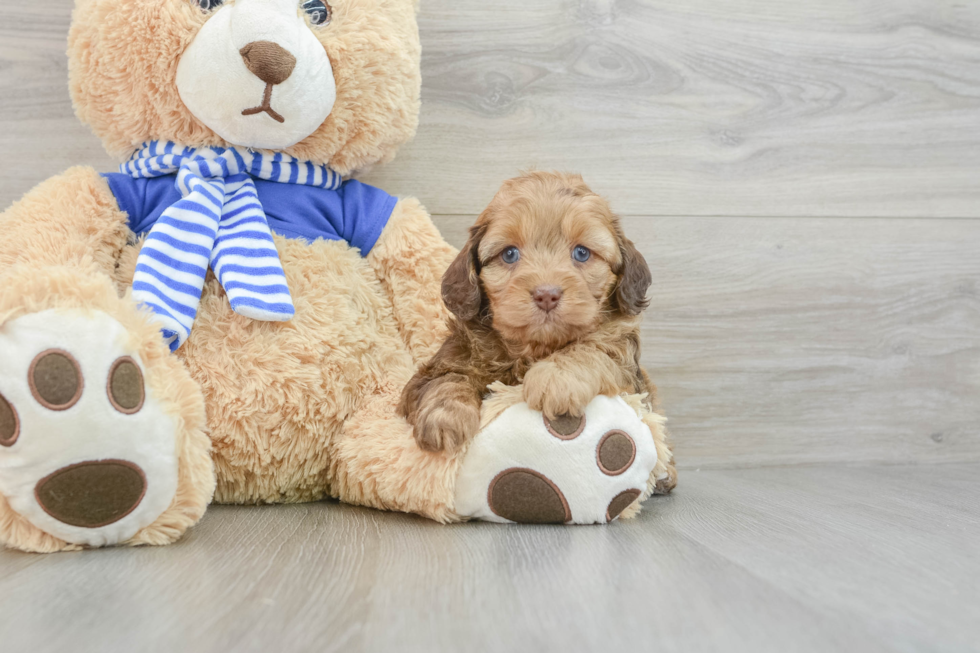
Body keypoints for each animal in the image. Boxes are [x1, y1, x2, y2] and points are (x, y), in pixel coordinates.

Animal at [398, 171, 668, 474]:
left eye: (582, 253)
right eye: (509, 254)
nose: (546, 294)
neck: (534, 348)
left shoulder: (628, 371)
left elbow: (596, 350)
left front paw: (555, 377)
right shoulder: (438, 366)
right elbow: (447, 379)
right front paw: (446, 418)